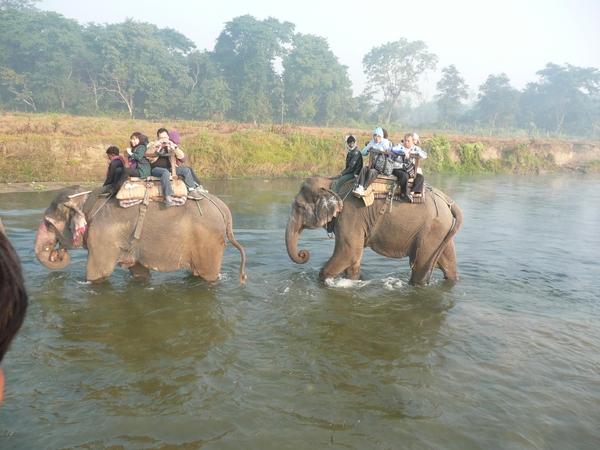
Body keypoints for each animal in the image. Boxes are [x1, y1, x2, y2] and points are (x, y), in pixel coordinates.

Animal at [35, 185, 247, 284]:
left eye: (48, 223)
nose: (56, 254)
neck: (85, 201)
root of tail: (223, 208)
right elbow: (139, 272)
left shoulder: (102, 236)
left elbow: (98, 274)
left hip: (208, 241)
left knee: (207, 276)